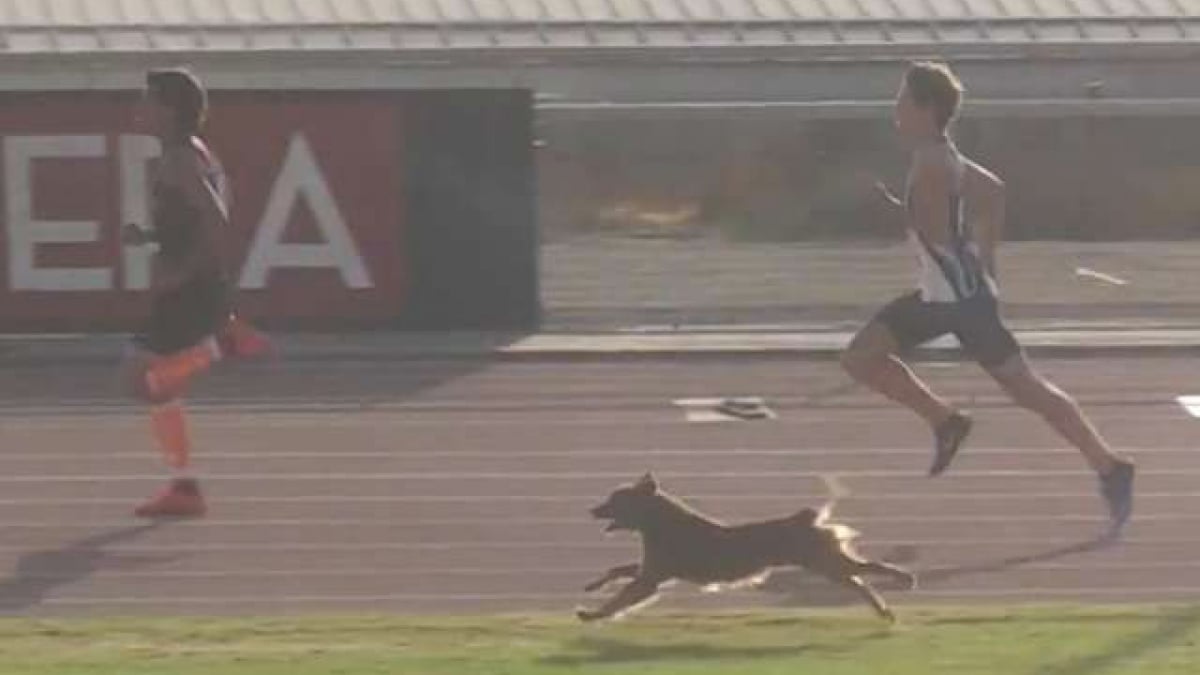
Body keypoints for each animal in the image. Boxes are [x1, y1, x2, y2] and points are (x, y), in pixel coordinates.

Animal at [576, 470, 912, 619]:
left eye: (615, 500)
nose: (592, 510)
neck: (661, 521)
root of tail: (805, 519)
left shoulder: (651, 579)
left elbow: (621, 598)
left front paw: (592, 614)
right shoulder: (654, 570)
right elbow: (618, 570)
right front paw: (593, 586)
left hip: (826, 563)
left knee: (869, 569)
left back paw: (905, 579)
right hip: (828, 565)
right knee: (859, 581)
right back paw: (884, 610)